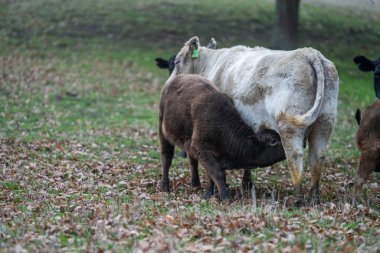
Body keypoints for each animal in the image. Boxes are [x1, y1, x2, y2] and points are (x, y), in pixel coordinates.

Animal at [171, 36, 340, 202]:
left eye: (177, 62)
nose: (170, 82)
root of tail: (309, 53)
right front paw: (247, 185)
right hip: (325, 122)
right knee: (317, 157)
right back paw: (314, 198)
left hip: (289, 126)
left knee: (295, 156)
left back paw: (297, 200)